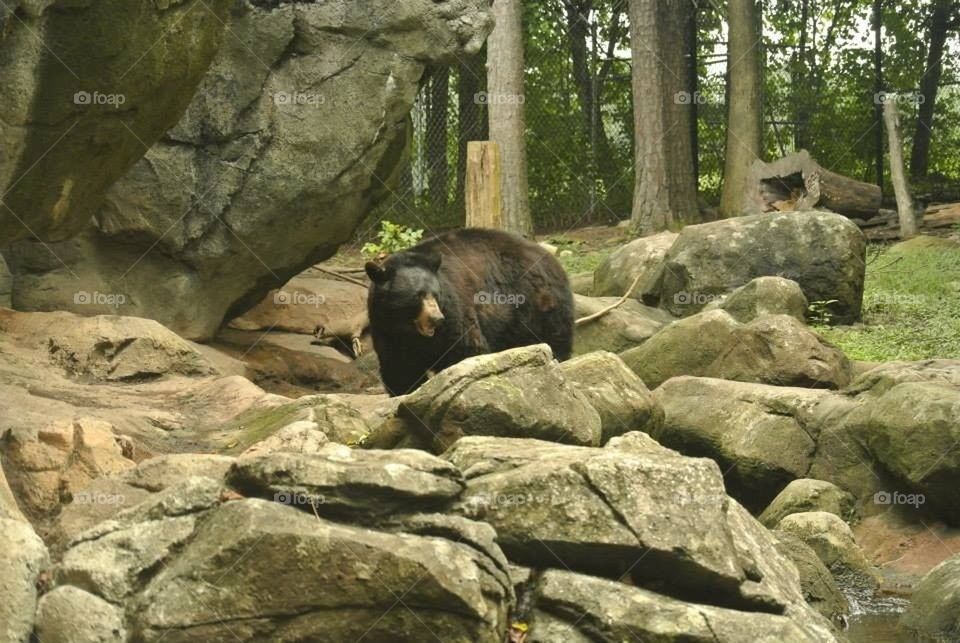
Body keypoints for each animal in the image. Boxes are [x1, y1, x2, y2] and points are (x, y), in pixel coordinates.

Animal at [365, 228, 574, 396]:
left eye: (435, 294)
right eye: (418, 295)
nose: (436, 318)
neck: (408, 328)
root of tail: (549, 257)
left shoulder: (453, 311)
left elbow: (465, 347)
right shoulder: (385, 327)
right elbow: (400, 368)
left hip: (536, 302)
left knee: (552, 336)